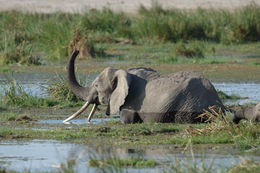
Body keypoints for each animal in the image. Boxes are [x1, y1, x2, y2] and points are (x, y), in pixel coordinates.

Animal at [63, 50, 225, 124]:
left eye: (96, 85)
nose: (77, 50)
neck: (123, 72)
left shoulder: (132, 101)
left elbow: (127, 118)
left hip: (188, 103)